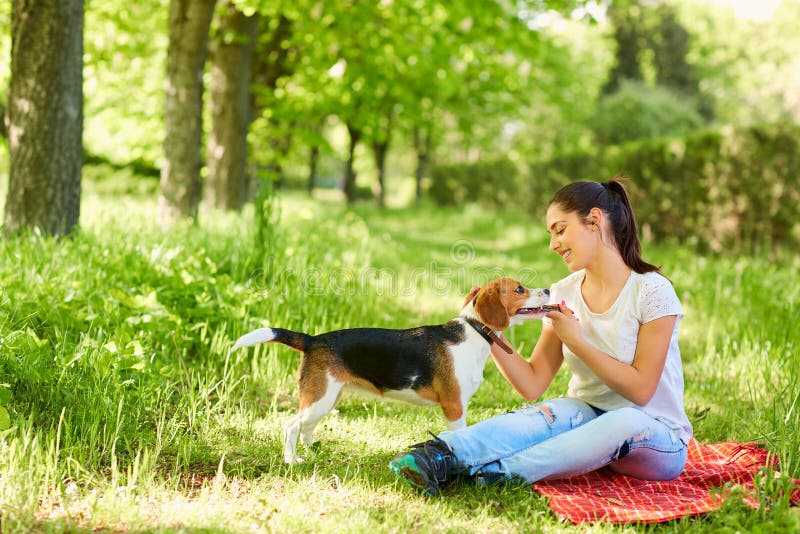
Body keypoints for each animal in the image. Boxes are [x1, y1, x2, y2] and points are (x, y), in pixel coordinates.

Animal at [233, 278, 552, 462]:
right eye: (520, 289)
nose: (549, 289)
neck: (474, 331)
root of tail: (313, 339)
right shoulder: (454, 406)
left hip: (327, 397)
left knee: (306, 427)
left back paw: (313, 450)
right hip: (320, 398)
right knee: (291, 426)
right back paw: (292, 461)